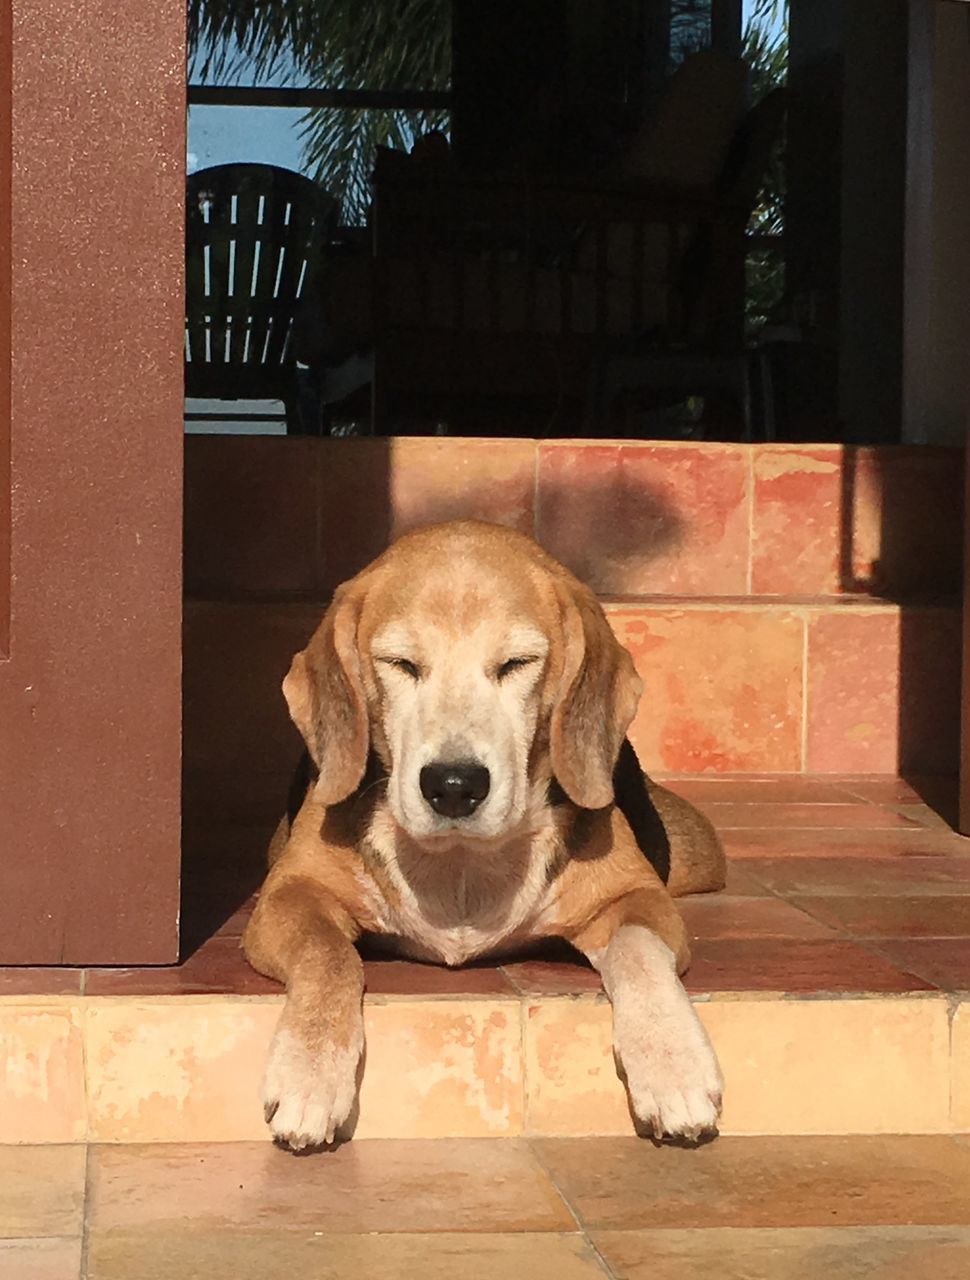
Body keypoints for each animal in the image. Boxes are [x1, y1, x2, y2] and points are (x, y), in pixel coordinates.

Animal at [246, 517, 726, 1152]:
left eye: (517, 663)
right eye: (400, 663)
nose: (453, 785)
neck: (461, 866)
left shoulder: (638, 898)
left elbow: (639, 951)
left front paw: (674, 1064)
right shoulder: (287, 895)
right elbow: (329, 954)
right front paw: (309, 1074)